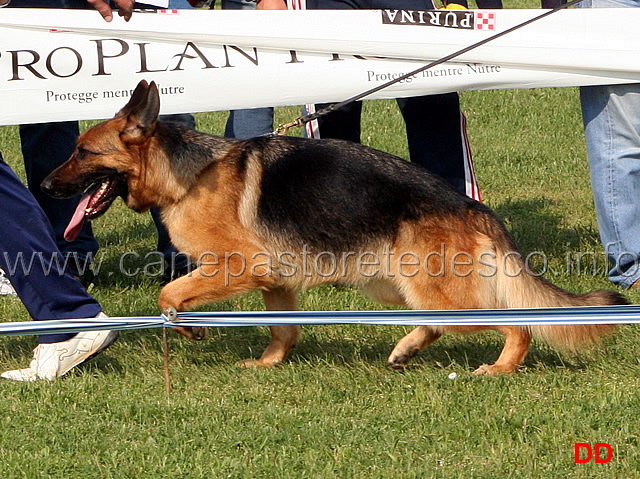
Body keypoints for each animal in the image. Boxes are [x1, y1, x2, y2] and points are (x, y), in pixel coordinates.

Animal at [43, 81, 624, 376]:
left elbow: (168, 294)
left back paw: (499, 369)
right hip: (400, 285)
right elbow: (282, 328)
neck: (187, 176)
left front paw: (189, 328)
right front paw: (267, 365)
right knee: (440, 322)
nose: (45, 185)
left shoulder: (238, 267)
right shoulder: (275, 282)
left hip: (433, 288)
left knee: (516, 323)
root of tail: (475, 208)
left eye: (83, 152)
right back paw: (406, 349)